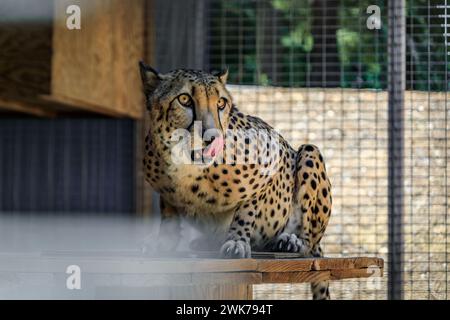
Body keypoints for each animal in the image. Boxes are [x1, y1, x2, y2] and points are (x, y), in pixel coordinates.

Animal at [139, 62, 332, 300]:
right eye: (184, 99)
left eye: (221, 103)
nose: (211, 137)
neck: (185, 165)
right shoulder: (165, 193)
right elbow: (169, 216)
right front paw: (164, 243)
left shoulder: (271, 154)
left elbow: (247, 208)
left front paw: (237, 240)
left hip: (309, 152)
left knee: (311, 244)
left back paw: (291, 241)